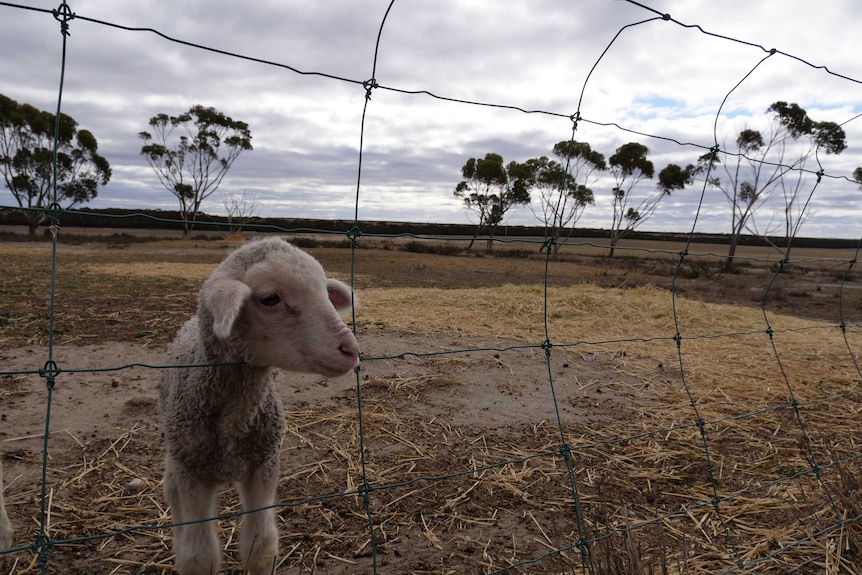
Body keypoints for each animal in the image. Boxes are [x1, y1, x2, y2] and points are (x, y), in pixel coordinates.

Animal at [162, 237, 362, 575]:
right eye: (269, 299)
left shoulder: (264, 463)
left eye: (325, 294)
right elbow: (198, 556)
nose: (351, 350)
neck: (232, 422)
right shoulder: (191, 473)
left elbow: (261, 547)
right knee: (172, 495)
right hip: (176, 459)